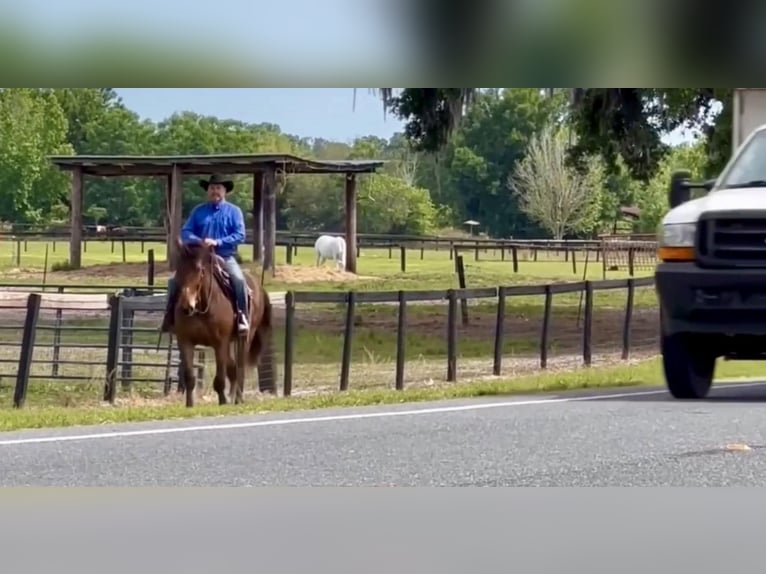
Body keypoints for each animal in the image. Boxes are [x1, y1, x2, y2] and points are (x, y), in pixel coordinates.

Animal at [170, 238, 274, 410]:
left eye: (200, 270)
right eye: (179, 269)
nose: (186, 306)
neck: (202, 308)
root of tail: (259, 288)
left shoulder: (220, 343)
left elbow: (219, 379)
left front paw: (222, 402)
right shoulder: (185, 342)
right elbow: (190, 378)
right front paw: (190, 405)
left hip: (244, 338)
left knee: (239, 368)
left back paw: (238, 398)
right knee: (232, 369)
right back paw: (233, 397)